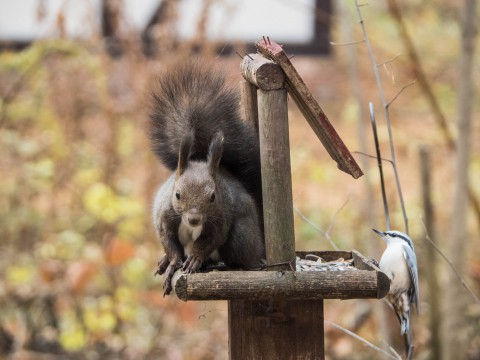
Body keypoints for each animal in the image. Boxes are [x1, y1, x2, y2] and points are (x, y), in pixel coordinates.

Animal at [148, 59, 264, 296]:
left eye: (213, 197)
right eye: (177, 194)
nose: (194, 219)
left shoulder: (220, 219)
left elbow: (209, 240)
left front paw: (194, 259)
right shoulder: (165, 216)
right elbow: (170, 243)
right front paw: (172, 263)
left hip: (240, 236)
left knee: (236, 257)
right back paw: (166, 261)